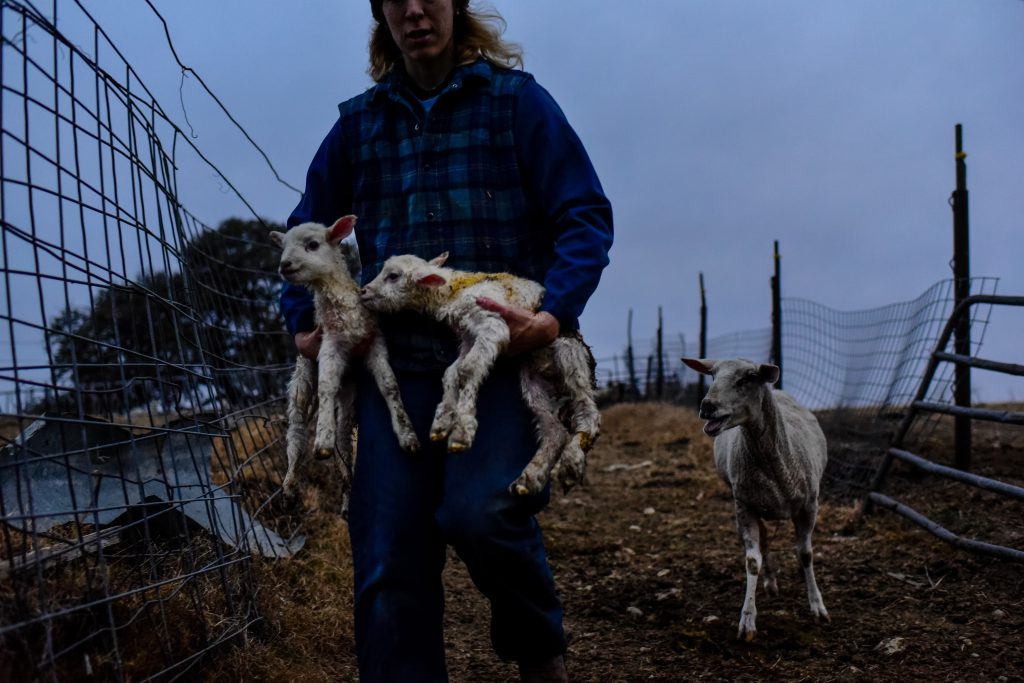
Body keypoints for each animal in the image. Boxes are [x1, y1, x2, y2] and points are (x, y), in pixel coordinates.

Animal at [272, 216, 419, 499]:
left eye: (313, 245)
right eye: (282, 248)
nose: (284, 265)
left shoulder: (374, 342)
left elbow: (390, 386)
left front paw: (407, 435)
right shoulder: (330, 344)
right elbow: (326, 387)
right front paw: (322, 439)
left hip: (349, 389)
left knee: (343, 434)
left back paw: (346, 484)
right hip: (303, 377)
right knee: (296, 430)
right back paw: (290, 482)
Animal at [360, 250, 598, 497]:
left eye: (393, 276)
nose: (363, 291)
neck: (454, 291)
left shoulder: (492, 323)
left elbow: (468, 370)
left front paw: (461, 430)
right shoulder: (467, 334)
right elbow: (452, 372)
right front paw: (442, 421)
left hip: (569, 355)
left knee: (588, 410)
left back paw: (571, 462)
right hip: (533, 381)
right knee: (555, 431)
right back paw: (529, 479)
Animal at [679, 358, 831, 643]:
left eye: (748, 378)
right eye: (712, 375)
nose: (707, 406)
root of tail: (778, 388)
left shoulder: (810, 505)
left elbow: (805, 554)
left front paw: (817, 606)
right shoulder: (744, 506)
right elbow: (752, 561)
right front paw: (747, 619)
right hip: (754, 503)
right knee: (766, 541)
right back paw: (770, 582)